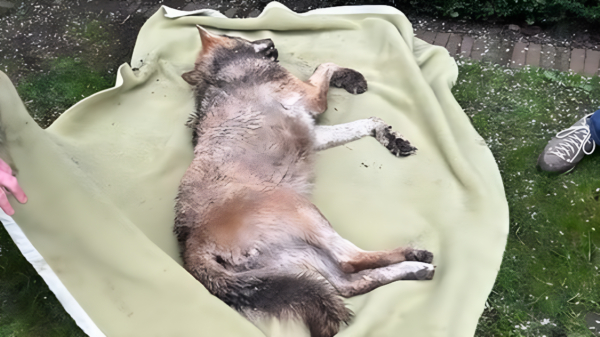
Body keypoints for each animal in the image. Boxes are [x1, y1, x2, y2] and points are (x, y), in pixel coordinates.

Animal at [175, 26, 436, 336]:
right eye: (234, 34)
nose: (271, 40)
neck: (224, 70)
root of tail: (190, 245)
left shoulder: (315, 133)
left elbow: (367, 121)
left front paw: (391, 137)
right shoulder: (313, 100)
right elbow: (326, 64)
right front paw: (351, 77)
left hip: (299, 251)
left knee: (349, 284)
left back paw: (415, 269)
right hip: (305, 213)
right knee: (350, 261)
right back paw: (414, 254)